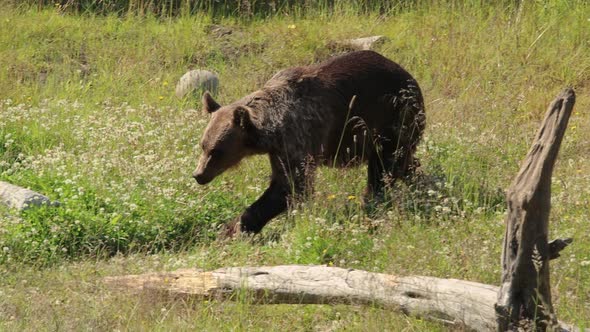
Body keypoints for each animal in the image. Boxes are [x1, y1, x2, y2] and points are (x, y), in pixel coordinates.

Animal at [194, 50, 426, 235]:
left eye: (217, 151)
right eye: (203, 145)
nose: (198, 175)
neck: (270, 129)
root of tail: (410, 76)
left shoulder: (297, 136)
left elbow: (290, 185)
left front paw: (235, 228)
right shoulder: (278, 149)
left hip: (393, 116)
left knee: (384, 167)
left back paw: (370, 202)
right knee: (403, 162)